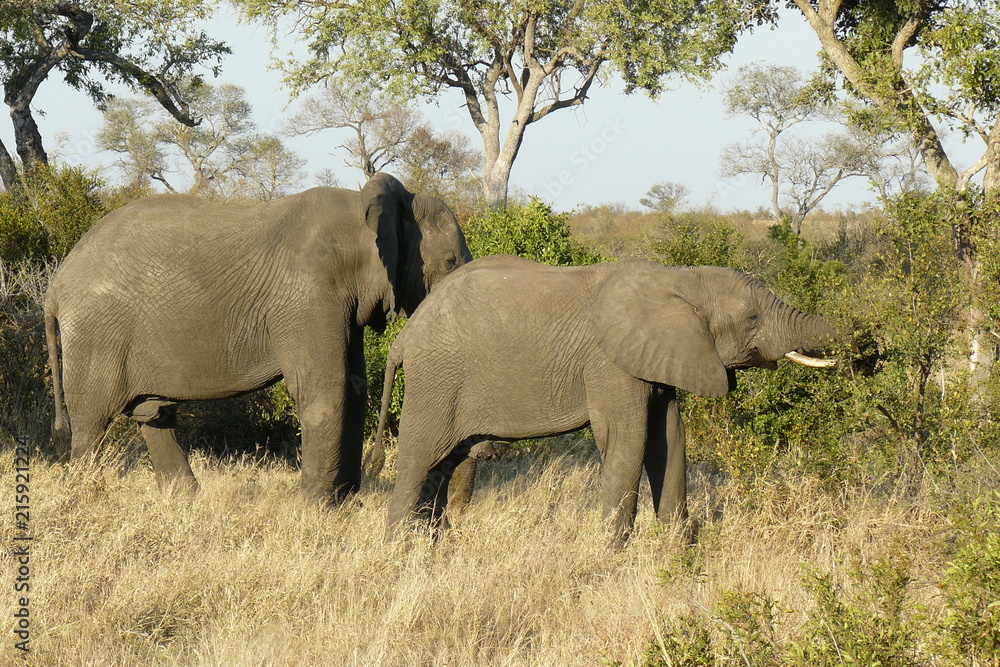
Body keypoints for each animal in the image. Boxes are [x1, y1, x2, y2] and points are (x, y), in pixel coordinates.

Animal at [45, 173, 471, 504]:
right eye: (450, 261)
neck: (363, 210)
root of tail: (56, 282)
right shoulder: (308, 294)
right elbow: (325, 386)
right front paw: (313, 509)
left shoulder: (336, 301)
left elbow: (353, 384)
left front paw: (344, 507)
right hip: (98, 332)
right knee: (92, 421)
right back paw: (87, 498)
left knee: (153, 414)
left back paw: (186, 501)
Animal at [369, 254, 836, 546]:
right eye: (752, 319)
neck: (679, 278)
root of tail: (405, 336)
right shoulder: (611, 365)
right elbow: (627, 441)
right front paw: (611, 557)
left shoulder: (659, 359)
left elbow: (670, 440)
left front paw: (679, 551)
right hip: (437, 381)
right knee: (420, 461)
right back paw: (399, 552)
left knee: (442, 467)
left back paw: (436, 547)